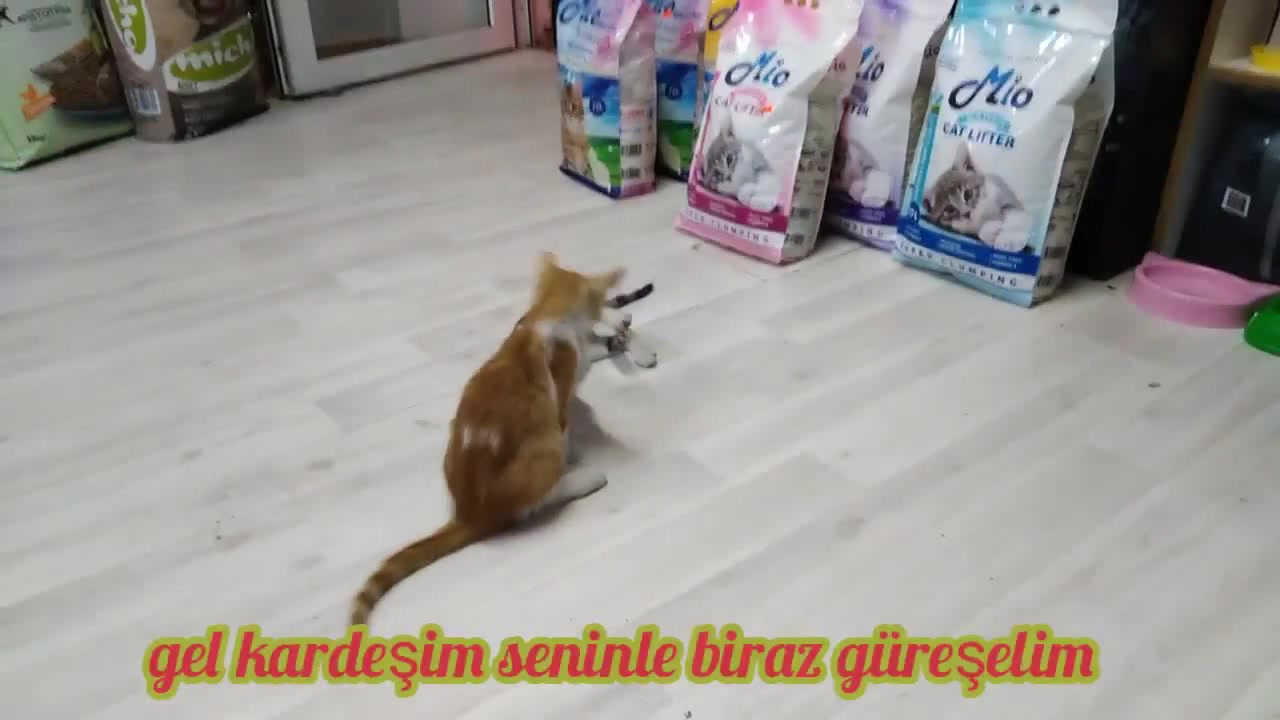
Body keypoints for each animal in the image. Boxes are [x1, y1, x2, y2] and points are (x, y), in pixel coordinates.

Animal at [350, 253, 626, 627]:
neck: (543, 315)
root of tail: (470, 513)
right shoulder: (562, 388)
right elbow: (575, 387)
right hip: (544, 451)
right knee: (532, 504)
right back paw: (584, 479)